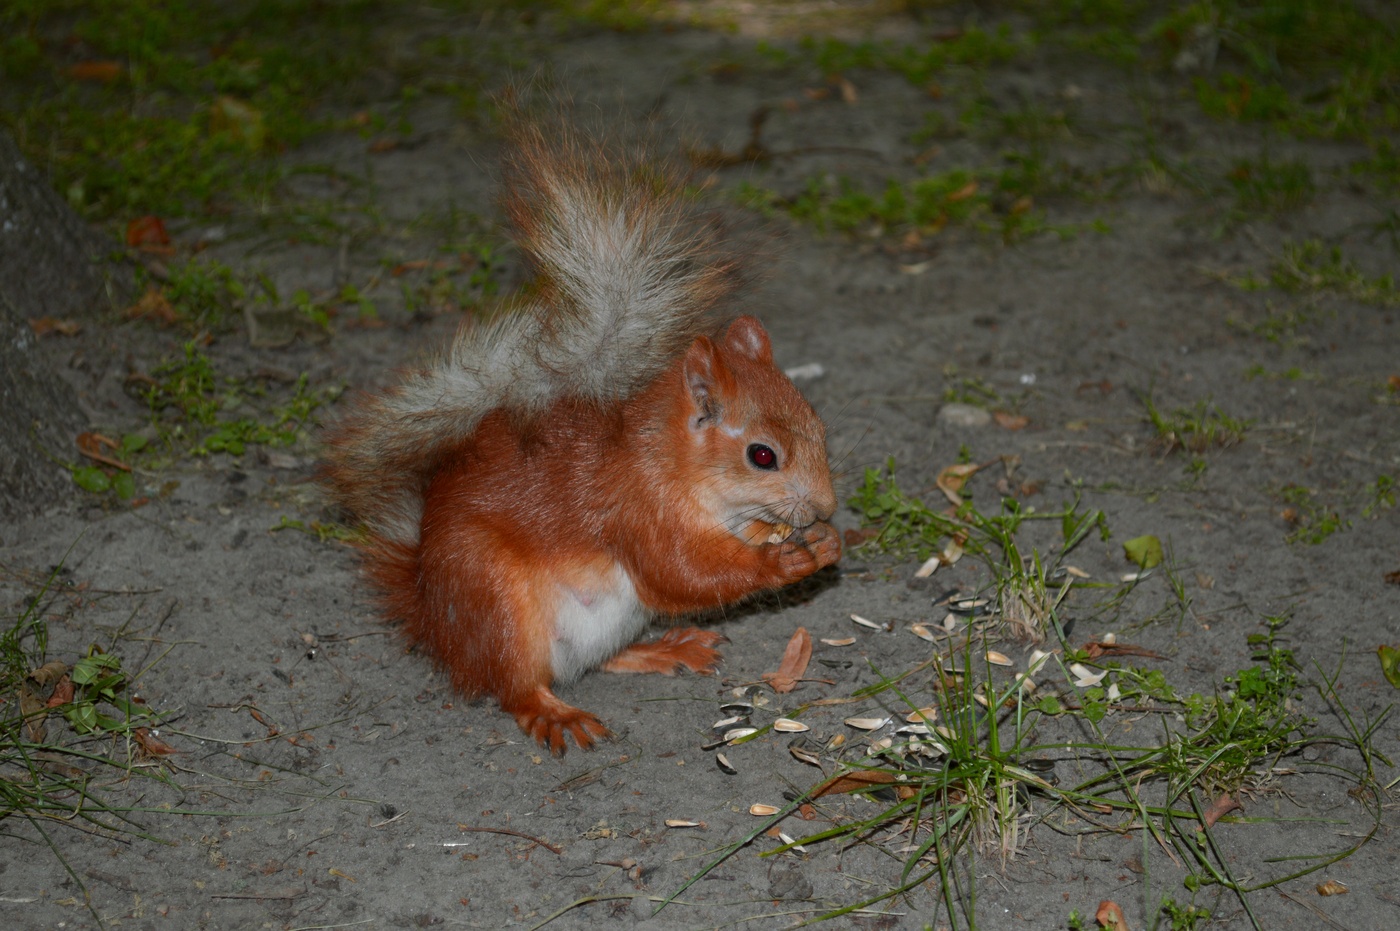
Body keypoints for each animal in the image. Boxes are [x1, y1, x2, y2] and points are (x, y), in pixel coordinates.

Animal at [319, 119, 841, 754]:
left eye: (817, 423)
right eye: (762, 455)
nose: (826, 506)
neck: (669, 464)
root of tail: (438, 624)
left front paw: (814, 539)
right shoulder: (635, 511)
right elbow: (683, 573)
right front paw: (785, 560)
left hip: (608, 622)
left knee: (593, 663)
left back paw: (666, 649)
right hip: (492, 596)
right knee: (517, 685)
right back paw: (555, 712)